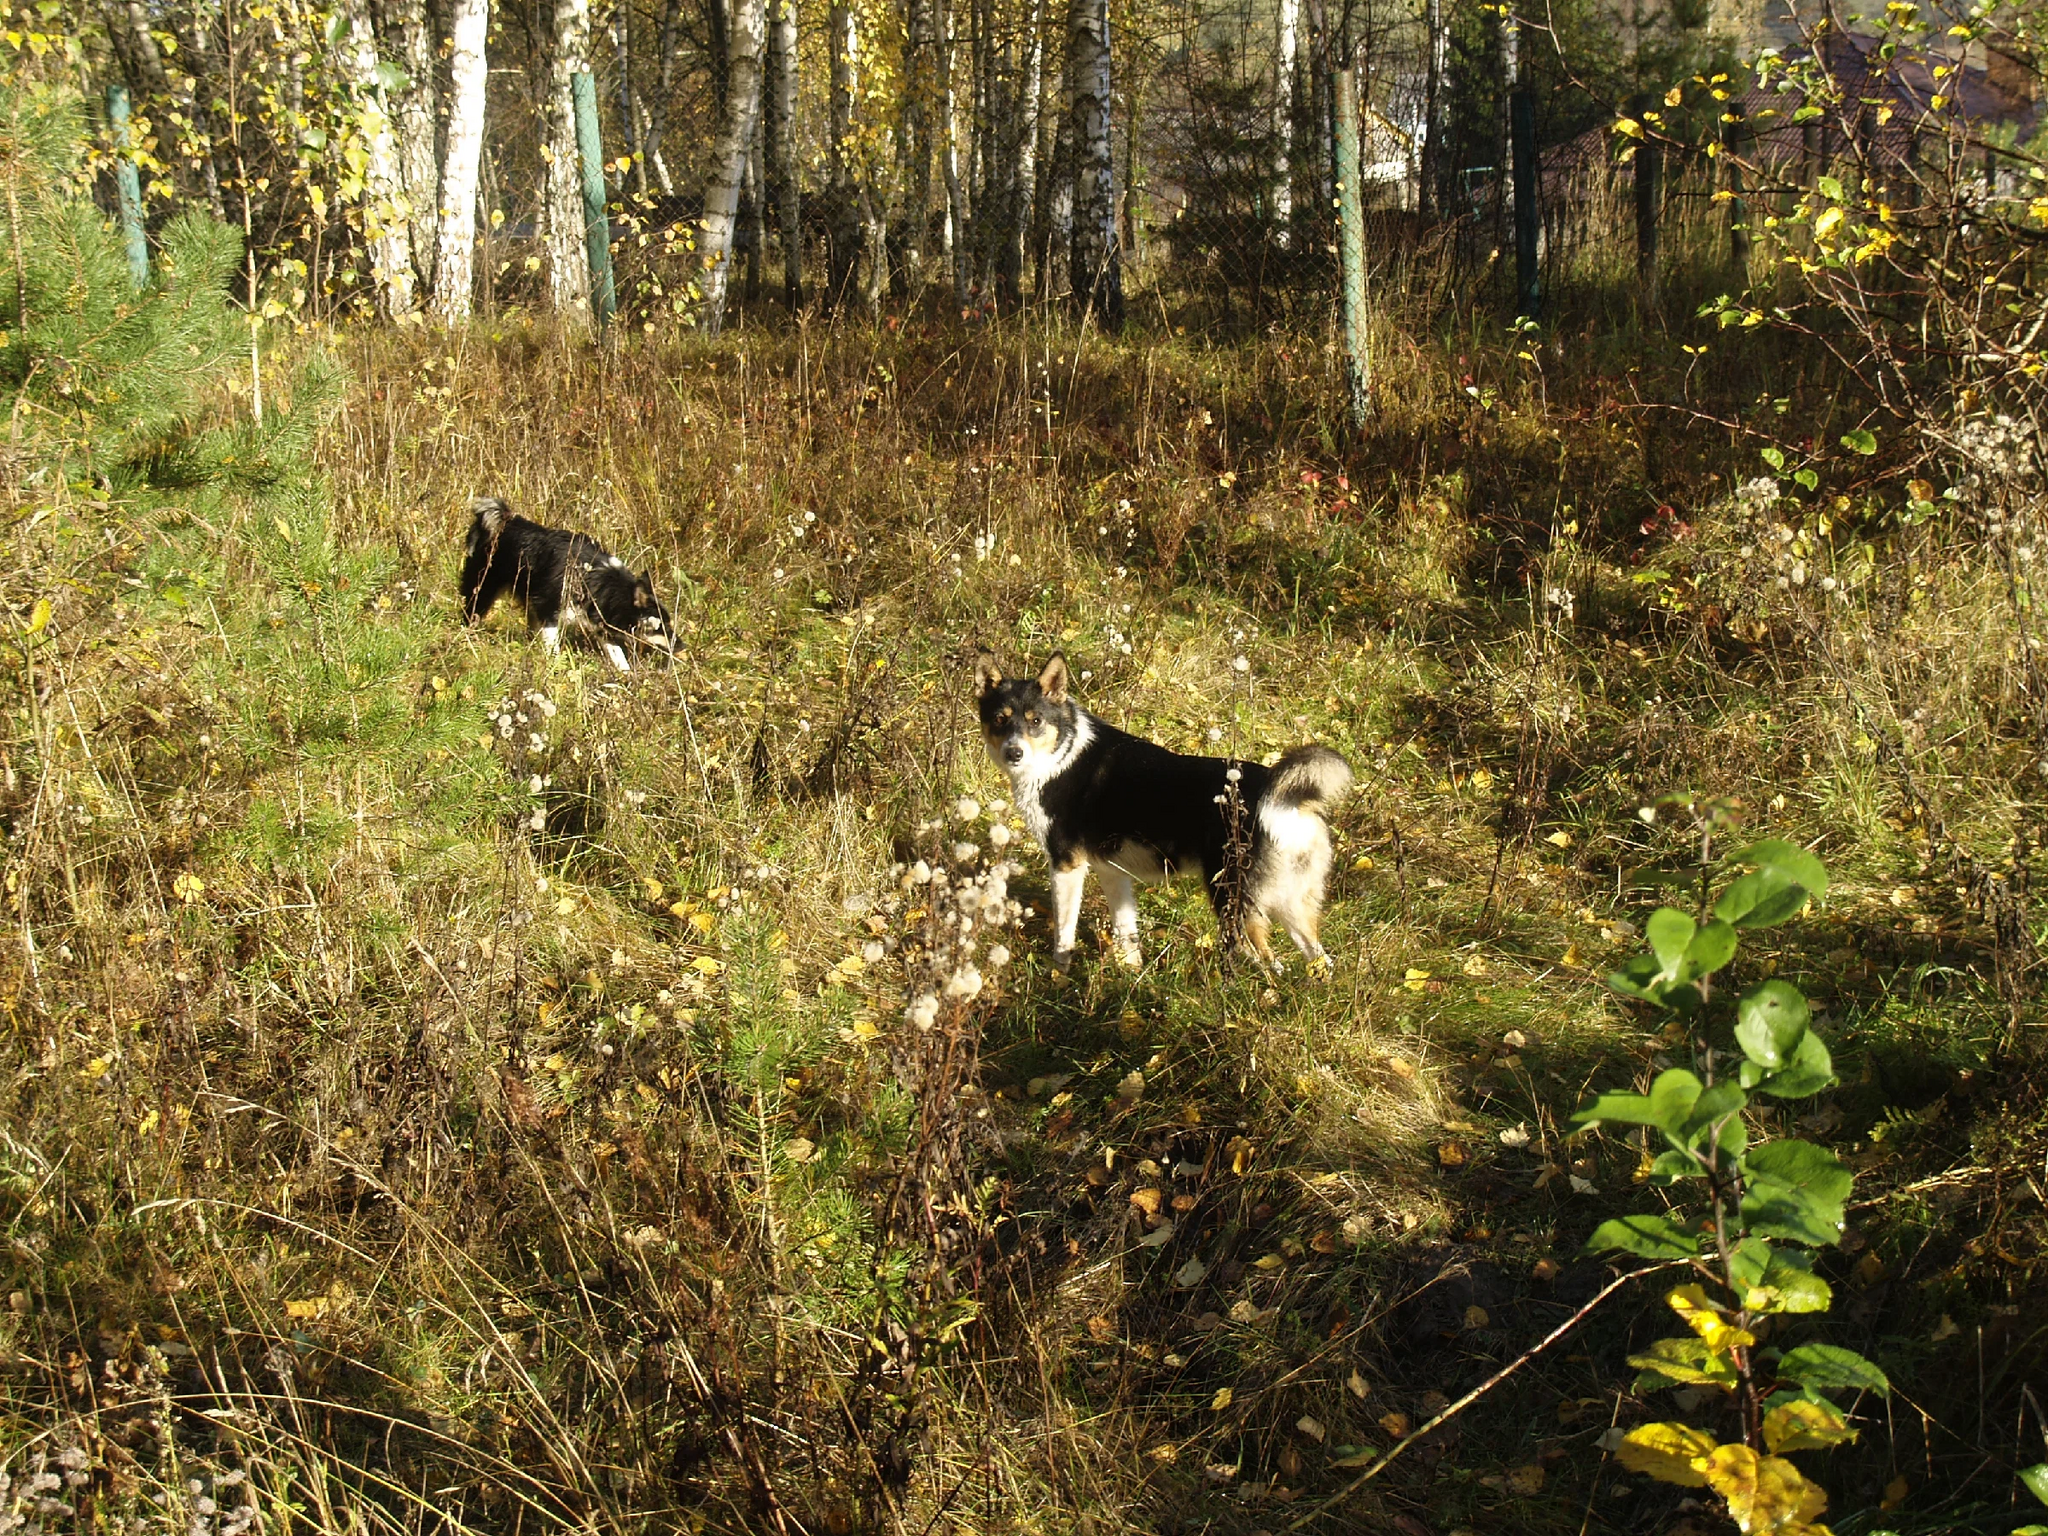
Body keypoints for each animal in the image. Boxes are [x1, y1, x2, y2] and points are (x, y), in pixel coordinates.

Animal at [458, 495, 675, 671]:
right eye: (660, 627)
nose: (680, 646)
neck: (595, 579)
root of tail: (506, 519)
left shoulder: (599, 620)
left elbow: (617, 654)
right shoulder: (550, 612)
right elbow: (553, 649)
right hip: (483, 588)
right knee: (470, 613)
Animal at [978, 651, 1359, 974]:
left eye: (1036, 720)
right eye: (1000, 720)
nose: (1014, 753)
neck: (1061, 755)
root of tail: (1282, 796)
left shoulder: (1066, 866)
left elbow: (1064, 933)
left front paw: (1059, 976)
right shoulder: (1112, 871)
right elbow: (1127, 934)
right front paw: (1130, 978)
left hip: (1234, 903)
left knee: (1270, 963)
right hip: (1290, 904)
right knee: (1319, 959)